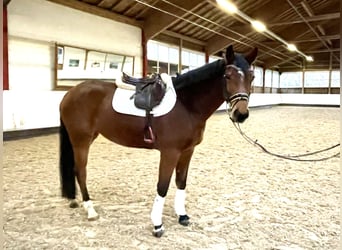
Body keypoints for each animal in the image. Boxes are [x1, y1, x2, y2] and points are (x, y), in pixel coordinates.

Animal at [58, 44, 256, 237]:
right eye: (227, 76)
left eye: (252, 77)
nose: (241, 114)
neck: (186, 104)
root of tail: (69, 94)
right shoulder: (170, 152)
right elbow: (163, 186)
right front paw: (157, 225)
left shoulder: (187, 150)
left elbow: (181, 182)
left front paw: (182, 215)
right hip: (81, 140)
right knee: (81, 171)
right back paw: (90, 210)